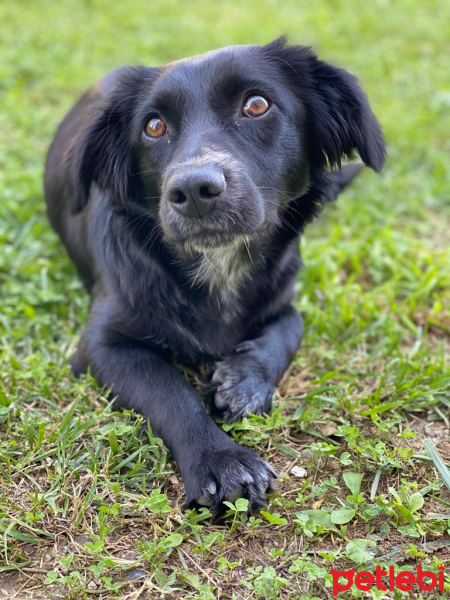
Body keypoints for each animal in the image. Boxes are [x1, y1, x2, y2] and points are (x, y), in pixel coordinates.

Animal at [44, 37, 384, 510]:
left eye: (257, 104)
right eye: (153, 126)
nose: (193, 189)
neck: (218, 262)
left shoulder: (283, 297)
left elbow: (290, 329)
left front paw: (245, 380)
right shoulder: (99, 345)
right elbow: (168, 388)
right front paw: (219, 457)